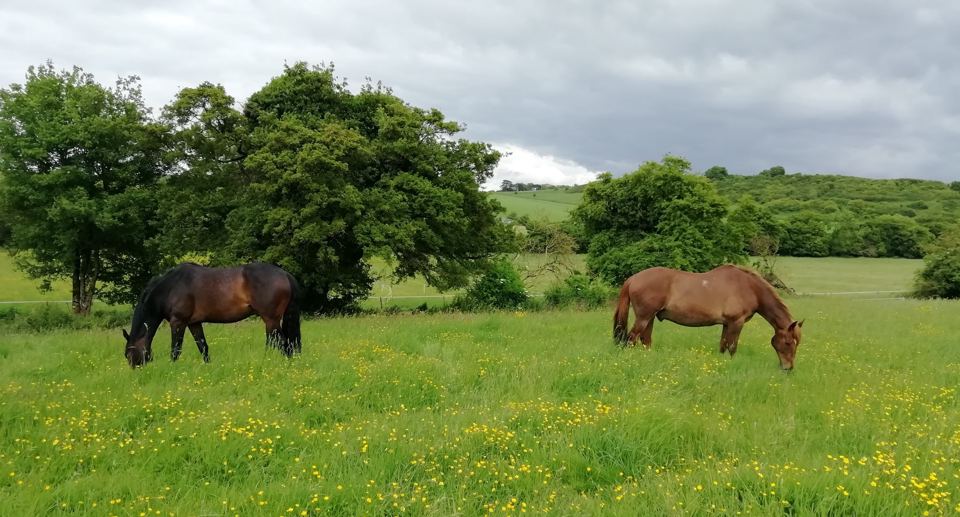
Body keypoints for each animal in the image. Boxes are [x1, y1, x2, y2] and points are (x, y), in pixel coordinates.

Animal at [121, 262, 302, 368]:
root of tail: (285, 274)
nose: (137, 371)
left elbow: (175, 350)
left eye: (128, 354)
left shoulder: (178, 322)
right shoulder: (194, 323)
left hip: (271, 320)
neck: (170, 287)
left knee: (283, 344)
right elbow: (203, 347)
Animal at [613, 265, 804, 370]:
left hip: (650, 318)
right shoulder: (737, 323)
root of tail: (633, 278)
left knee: (645, 341)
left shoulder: (727, 324)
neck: (749, 288)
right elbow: (732, 347)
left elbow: (723, 346)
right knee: (631, 339)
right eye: (788, 343)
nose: (788, 368)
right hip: (644, 317)